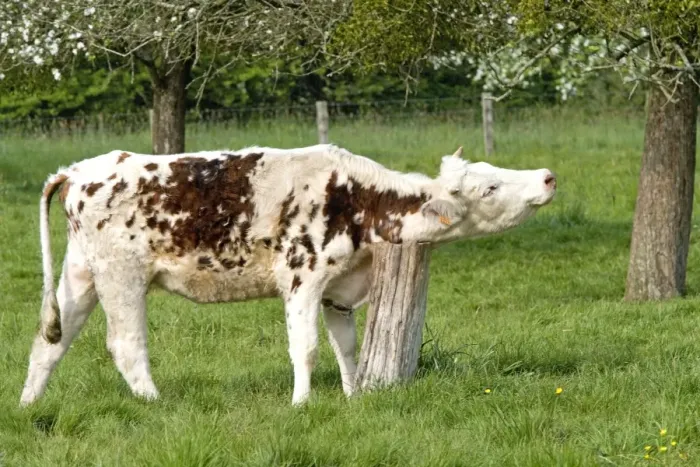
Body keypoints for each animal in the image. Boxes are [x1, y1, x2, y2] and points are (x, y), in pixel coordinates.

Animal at [19, 144, 557, 407]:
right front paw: (302, 403)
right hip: (121, 276)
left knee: (50, 341)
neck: (359, 198)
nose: (548, 176)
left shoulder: (338, 289)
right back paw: (156, 403)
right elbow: (307, 347)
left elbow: (347, 347)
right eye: (490, 187)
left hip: (80, 275)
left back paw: (29, 406)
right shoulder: (304, 277)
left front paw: (353, 396)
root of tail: (79, 169)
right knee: (126, 345)